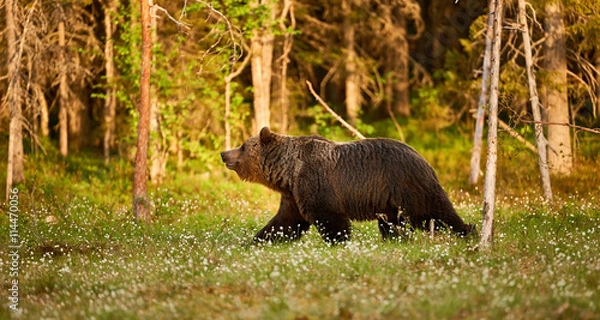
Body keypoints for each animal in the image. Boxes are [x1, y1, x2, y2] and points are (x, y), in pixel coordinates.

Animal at [220, 127, 474, 242]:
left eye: (243, 146)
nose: (224, 153)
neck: (288, 172)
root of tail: (424, 157)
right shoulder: (294, 194)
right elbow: (285, 221)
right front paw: (257, 240)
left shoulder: (316, 182)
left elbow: (329, 218)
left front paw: (339, 242)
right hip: (389, 201)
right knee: (395, 223)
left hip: (407, 183)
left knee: (434, 211)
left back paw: (466, 230)